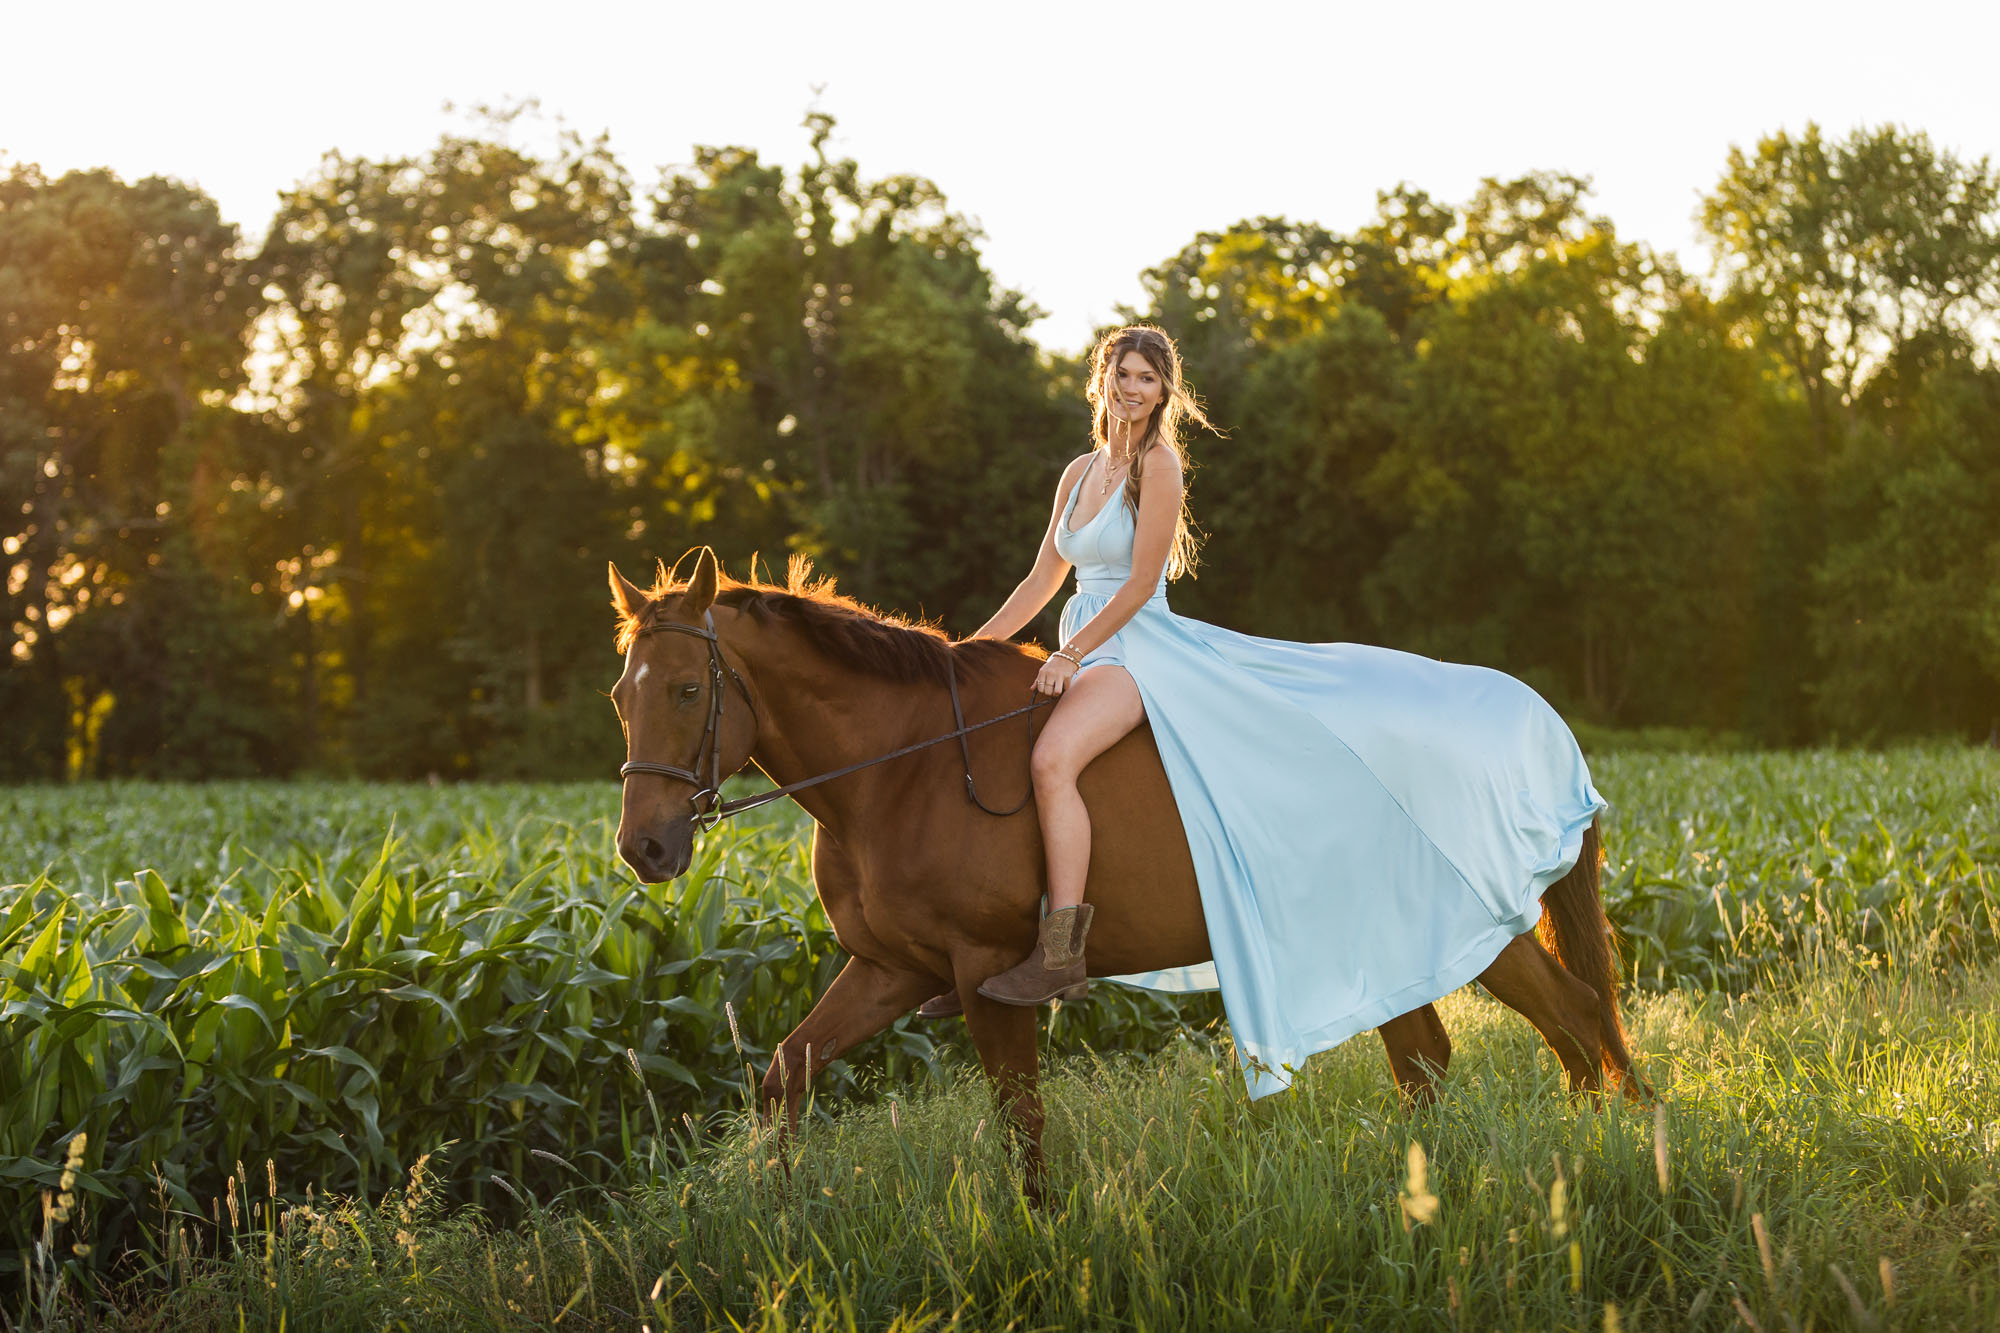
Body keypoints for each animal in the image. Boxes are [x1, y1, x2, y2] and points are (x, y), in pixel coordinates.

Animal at [608, 544, 1640, 1184]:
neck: (904, 767)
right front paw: (773, 1207)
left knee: (1573, 1020)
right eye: (623, 693)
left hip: (1474, 924)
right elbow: (784, 1076)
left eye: (690, 689)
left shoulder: (987, 971)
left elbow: (1021, 1121)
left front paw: (1039, 1240)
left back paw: (1591, 1162)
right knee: (1436, 1058)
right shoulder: (890, 967)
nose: (644, 849)